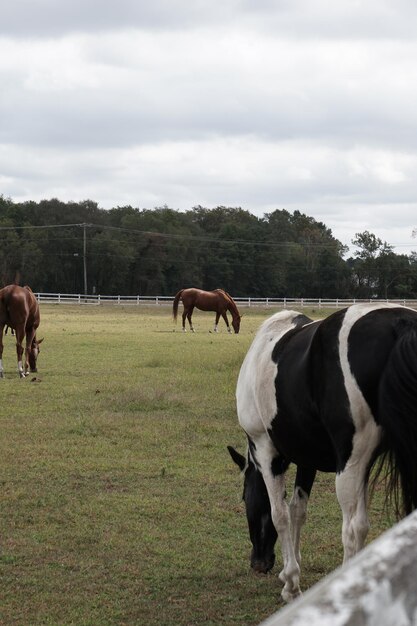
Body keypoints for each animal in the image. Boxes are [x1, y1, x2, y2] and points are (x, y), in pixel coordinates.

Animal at [229, 302, 417, 600]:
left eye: (244, 497)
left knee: (353, 529)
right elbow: (298, 510)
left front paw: (291, 583)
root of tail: (400, 324)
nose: (258, 563)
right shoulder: (307, 459)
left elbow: (280, 514)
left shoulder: (265, 451)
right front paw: (292, 568)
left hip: (351, 465)